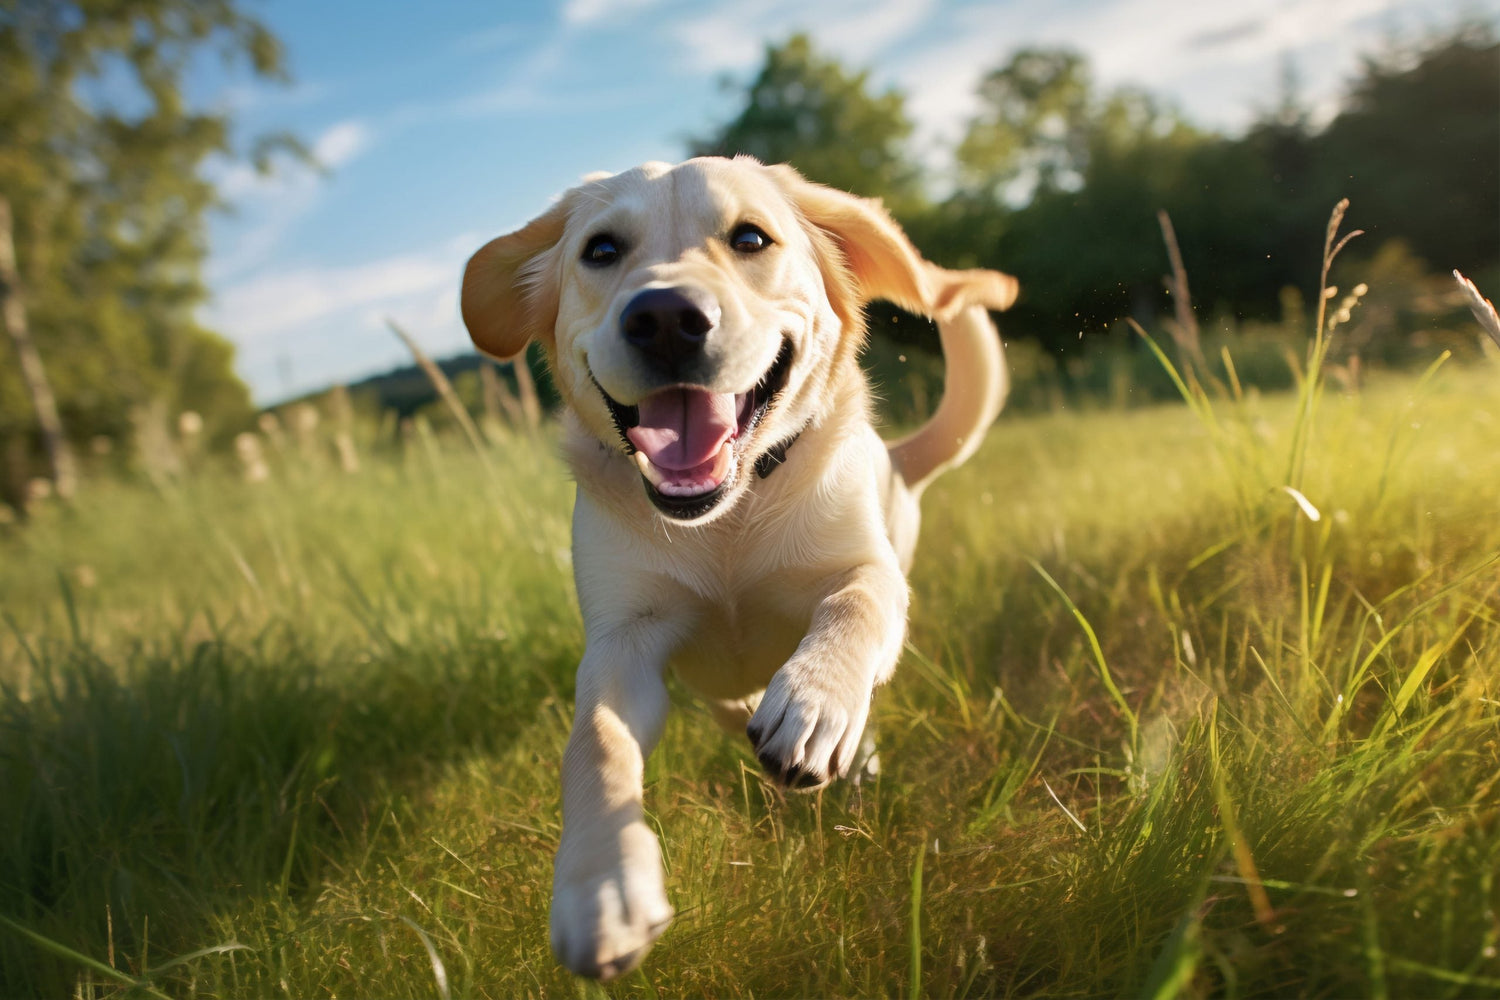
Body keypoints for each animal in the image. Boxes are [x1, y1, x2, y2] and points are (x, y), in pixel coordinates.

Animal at [459, 154, 1020, 977]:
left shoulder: (868, 569)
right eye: (601, 249)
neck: (725, 522)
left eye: (751, 237)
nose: (664, 317)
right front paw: (601, 888)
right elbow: (596, 746)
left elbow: (854, 605)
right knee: (729, 707)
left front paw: (814, 705)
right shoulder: (622, 643)